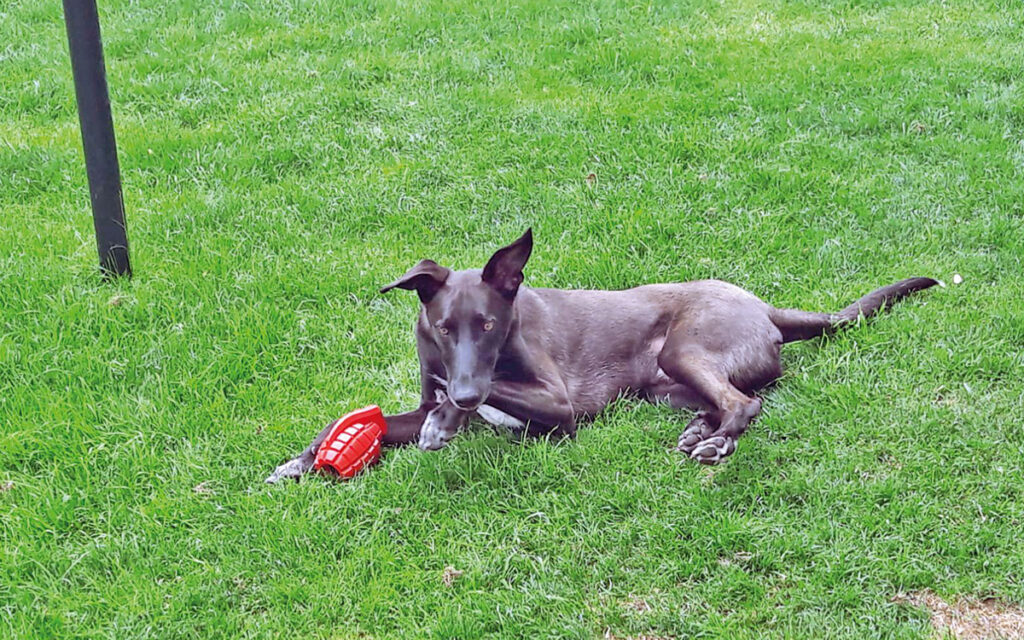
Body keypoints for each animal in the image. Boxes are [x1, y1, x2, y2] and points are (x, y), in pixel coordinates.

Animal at [264, 228, 937, 479]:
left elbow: (486, 398)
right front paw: (302, 460)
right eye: (443, 327)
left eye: (490, 324)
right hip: (667, 383)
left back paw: (716, 443)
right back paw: (700, 431)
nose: (461, 396)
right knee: (731, 397)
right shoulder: (433, 387)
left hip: (685, 349)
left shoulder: (559, 406)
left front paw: (451, 420)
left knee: (745, 404)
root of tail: (767, 308)